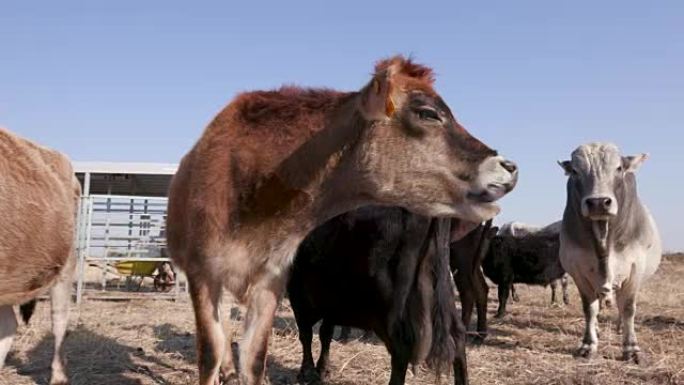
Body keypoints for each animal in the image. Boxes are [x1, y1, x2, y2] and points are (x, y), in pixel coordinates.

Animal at [286, 207, 468, 384]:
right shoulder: (330, 302)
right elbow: (325, 333)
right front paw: (322, 369)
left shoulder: (297, 291)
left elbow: (306, 334)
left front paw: (307, 372)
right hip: (443, 289)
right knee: (458, 337)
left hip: (388, 304)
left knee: (401, 348)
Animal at [560, 142, 660, 364]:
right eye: (575, 171)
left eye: (619, 168)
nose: (598, 202)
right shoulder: (578, 271)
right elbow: (589, 308)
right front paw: (588, 344)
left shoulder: (635, 269)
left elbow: (628, 308)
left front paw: (631, 349)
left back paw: (620, 327)